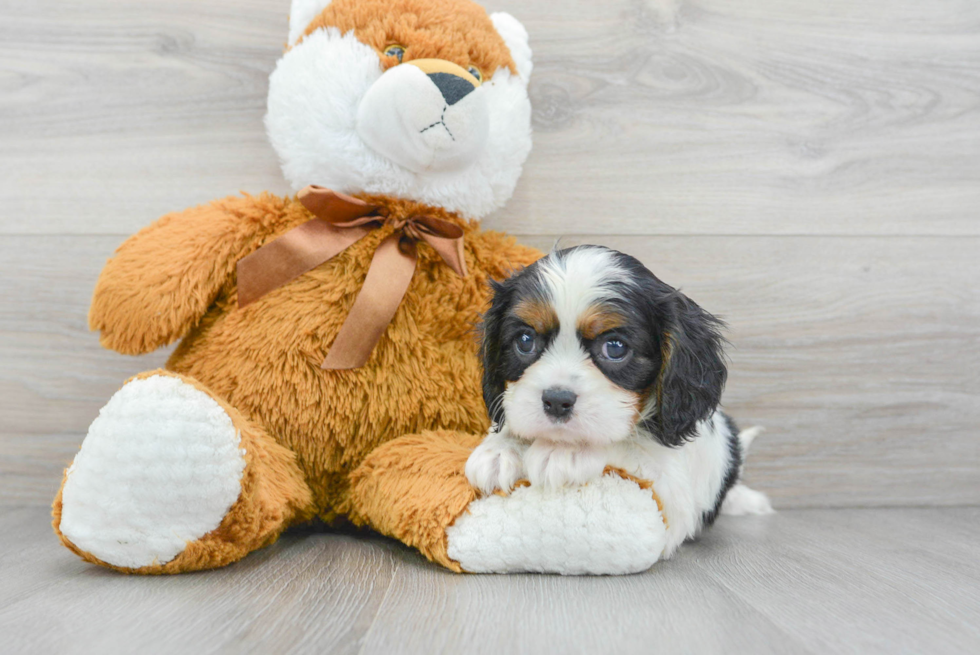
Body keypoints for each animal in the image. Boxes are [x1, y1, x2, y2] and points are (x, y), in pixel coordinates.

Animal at [468, 246, 772, 552]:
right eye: (525, 340)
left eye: (615, 348)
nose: (556, 401)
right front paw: (500, 449)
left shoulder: (672, 495)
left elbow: (628, 444)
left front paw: (566, 451)